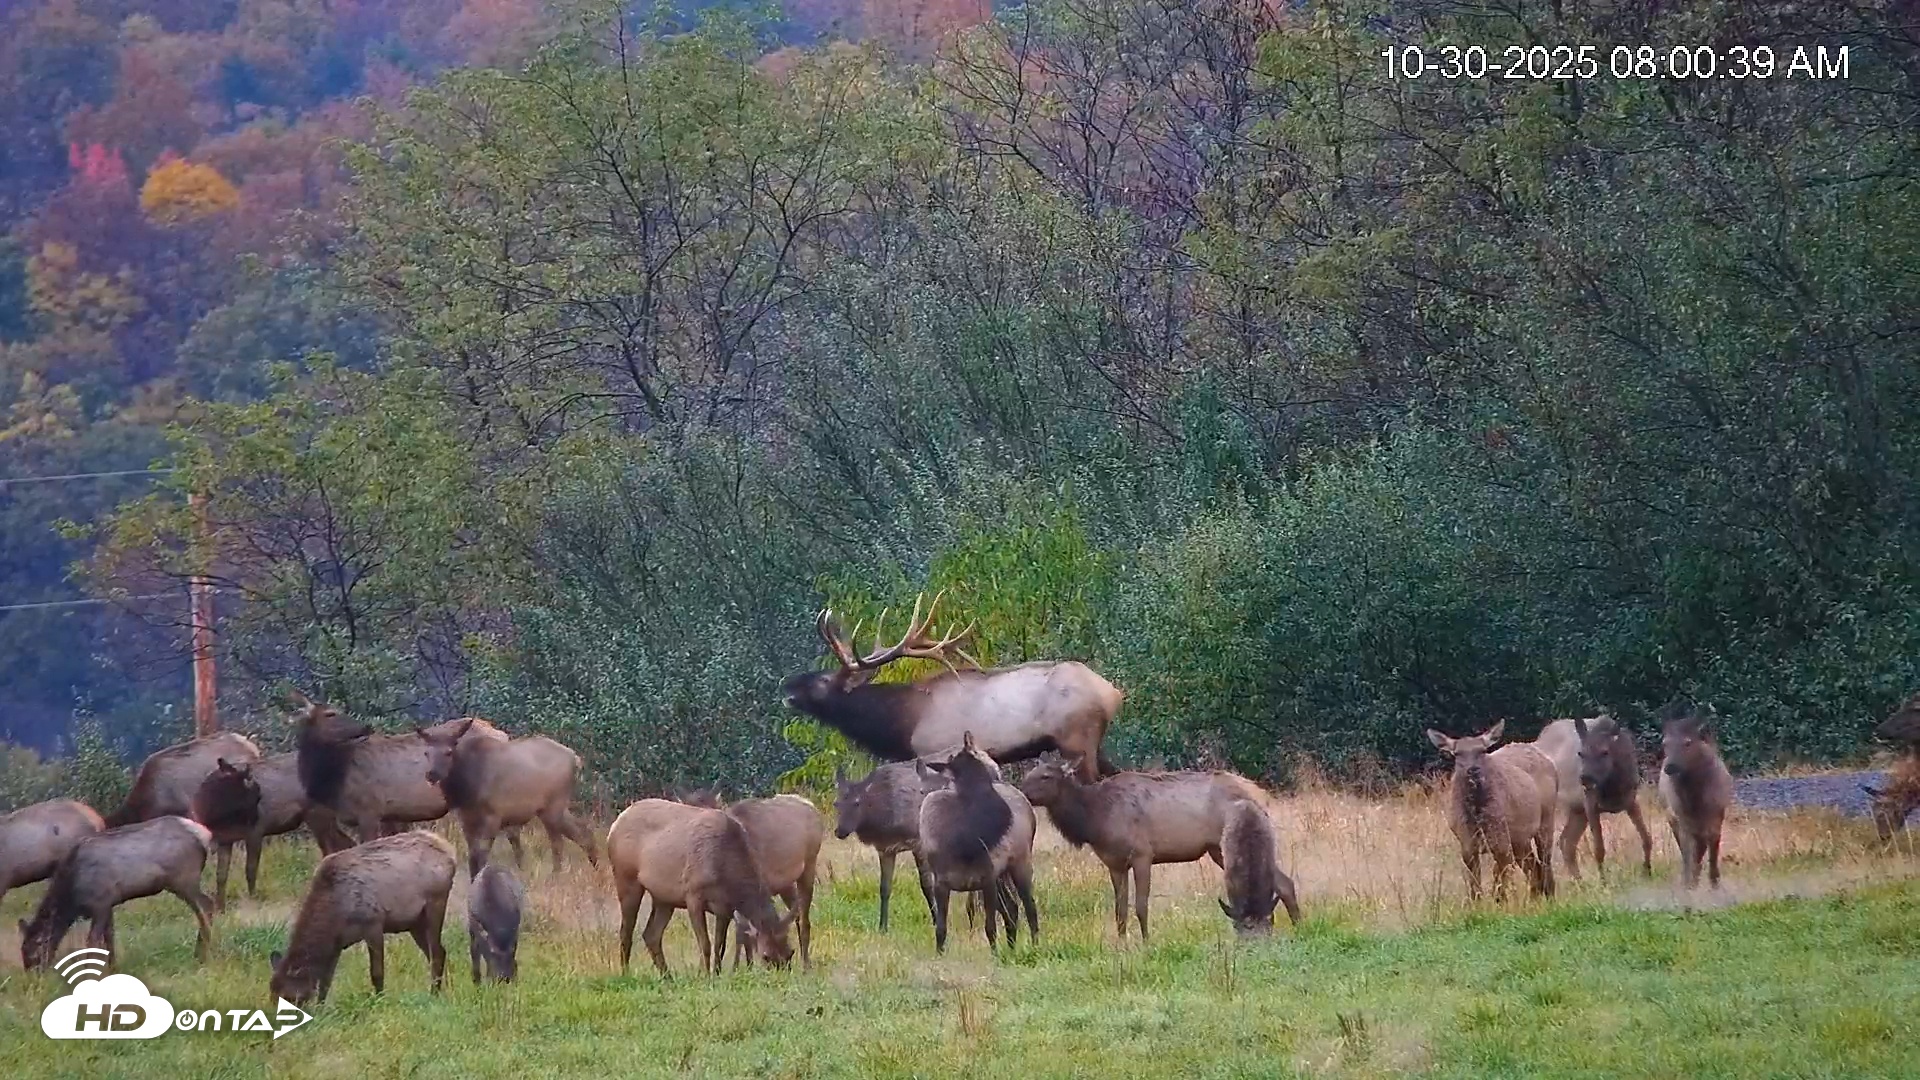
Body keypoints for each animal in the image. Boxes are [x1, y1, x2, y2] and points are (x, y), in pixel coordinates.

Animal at [783, 591, 1123, 782]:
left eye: (824, 680)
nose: (787, 685)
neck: (901, 723)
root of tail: (1113, 693)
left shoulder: (934, 753)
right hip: (1092, 741)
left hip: (1076, 738)